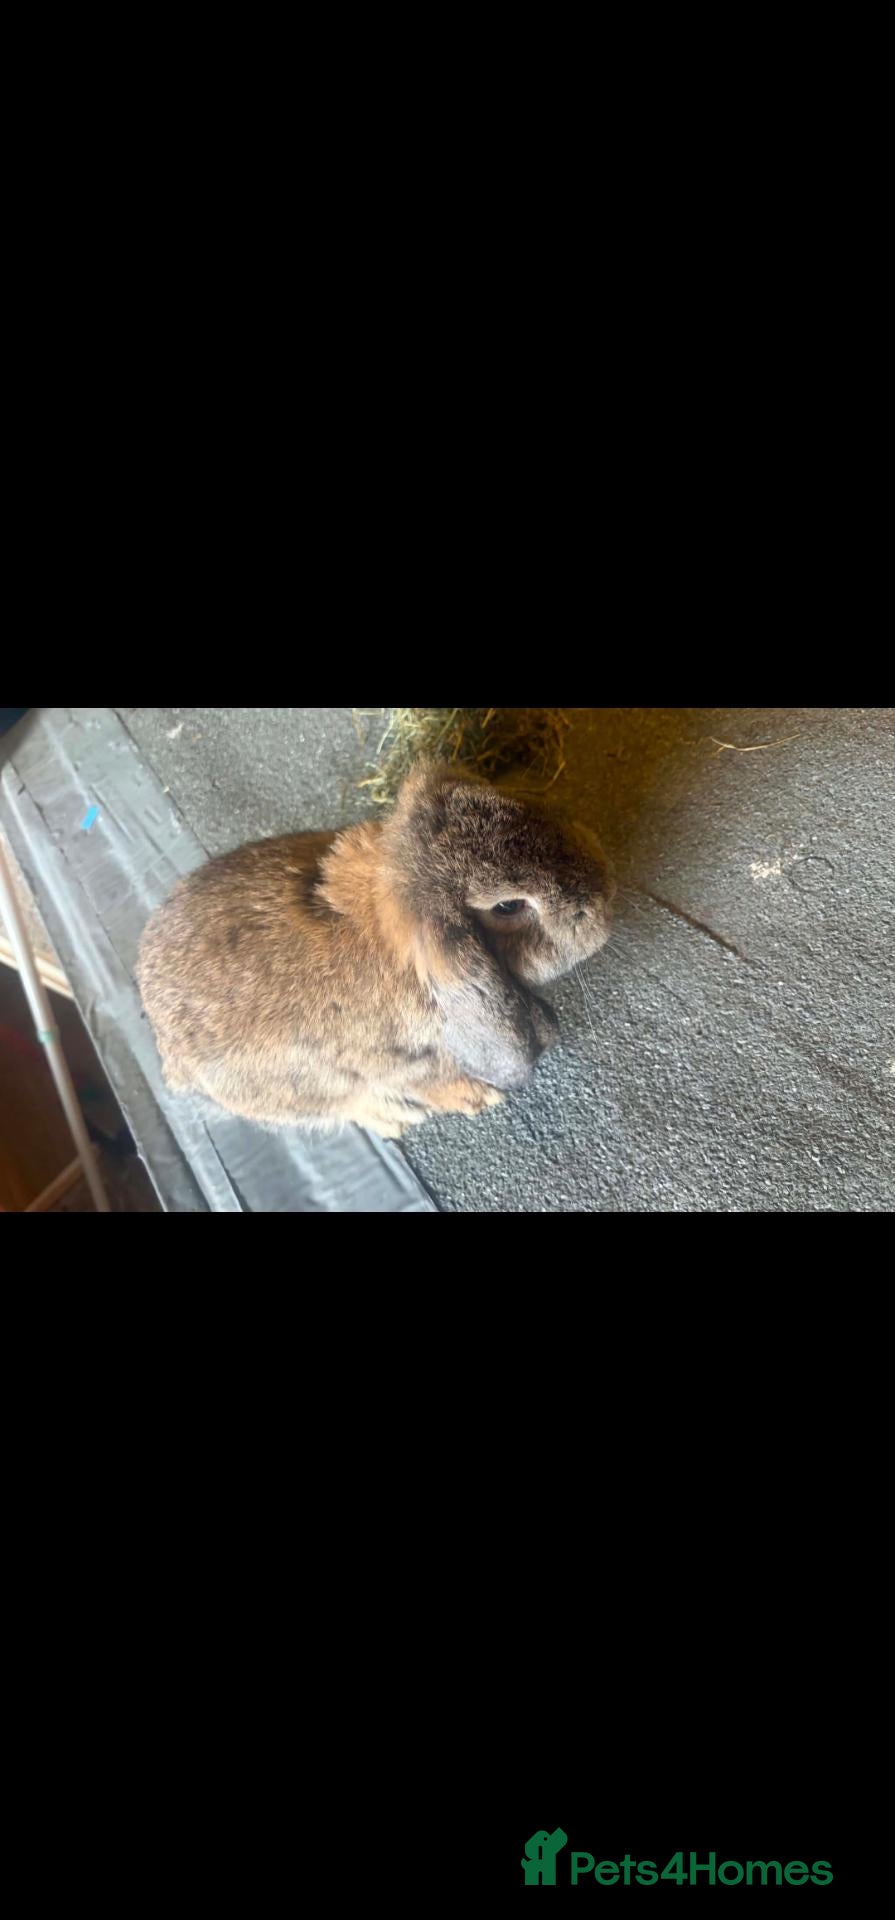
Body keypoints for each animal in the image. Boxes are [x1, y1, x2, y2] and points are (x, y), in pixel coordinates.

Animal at [136, 763, 614, 1138]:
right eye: (508, 906)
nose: (603, 894)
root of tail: (168, 1053)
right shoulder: (401, 1062)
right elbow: (427, 1079)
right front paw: (478, 1097)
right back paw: (400, 1118)